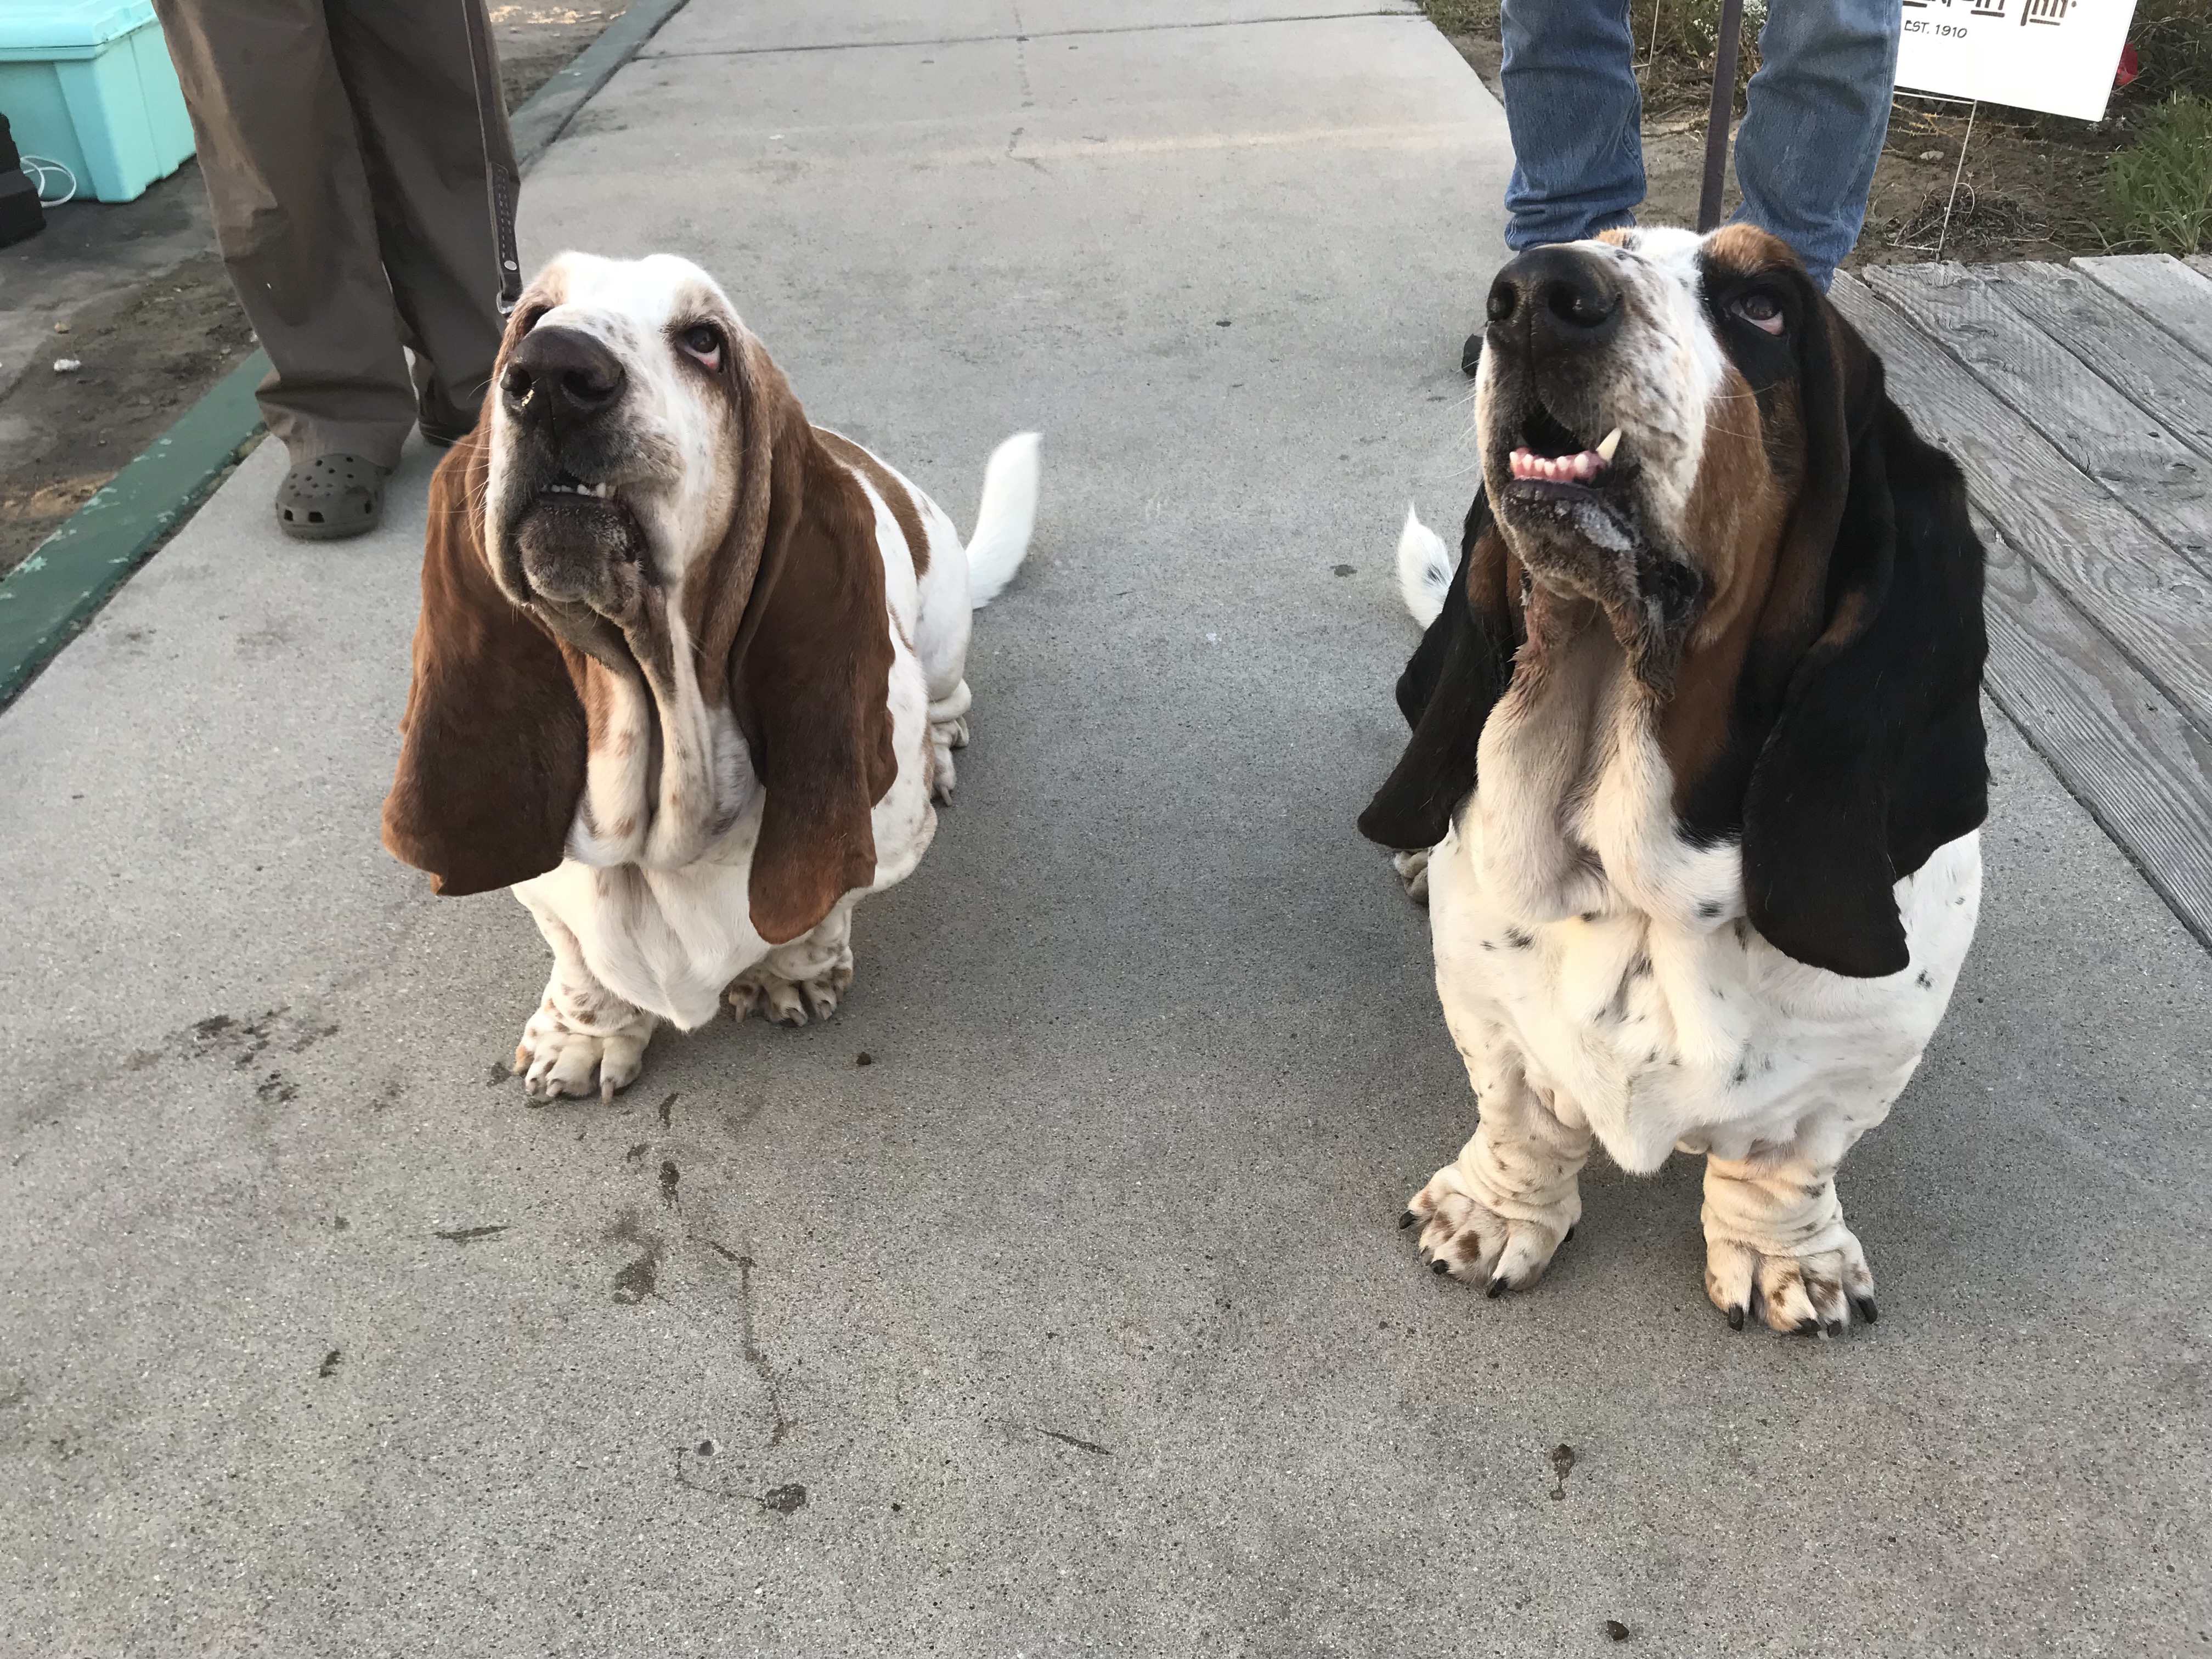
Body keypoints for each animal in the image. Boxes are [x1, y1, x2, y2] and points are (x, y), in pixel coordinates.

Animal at [380, 252, 1039, 1100]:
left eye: (704, 341)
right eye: (530, 318)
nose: (551, 373)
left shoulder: (882, 838)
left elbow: (820, 911)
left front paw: (792, 973)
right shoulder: (546, 888)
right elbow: (577, 958)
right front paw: (584, 1035)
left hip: (947, 628)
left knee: (951, 697)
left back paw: (945, 747)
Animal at [1361, 226, 1988, 1334]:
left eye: (1764, 305)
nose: (1533, 294)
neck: (1639, 887)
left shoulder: (1852, 1072)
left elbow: (1789, 1168)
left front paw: (1791, 1260)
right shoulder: (1488, 1018)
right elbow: (1517, 1116)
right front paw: (1490, 1212)